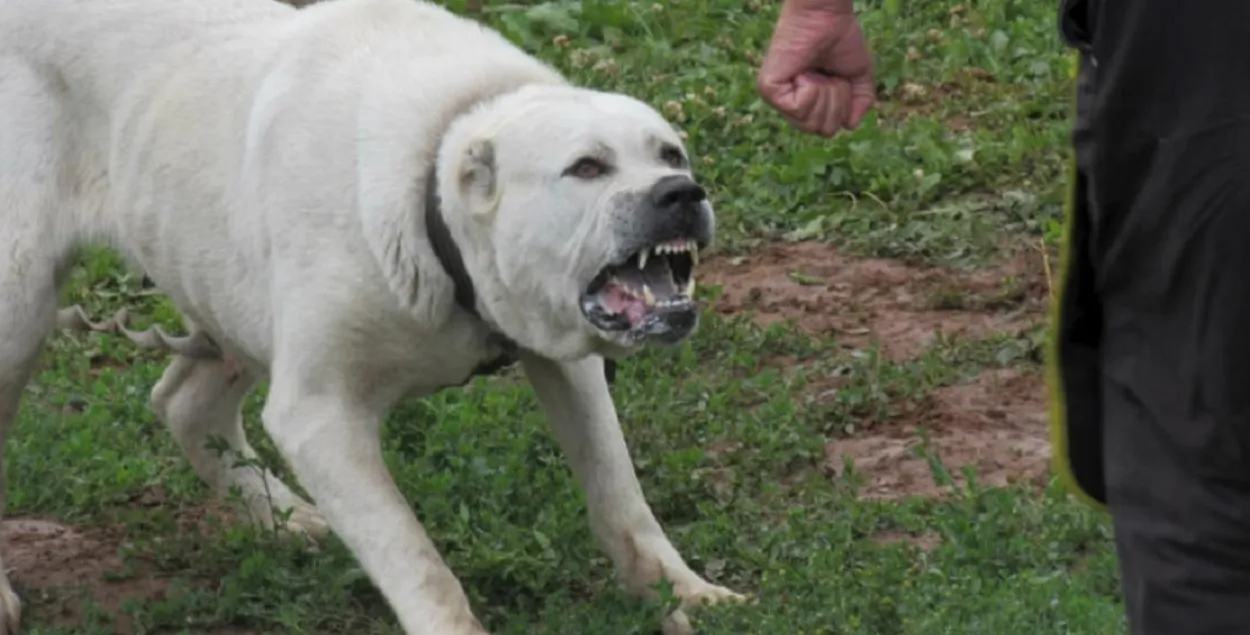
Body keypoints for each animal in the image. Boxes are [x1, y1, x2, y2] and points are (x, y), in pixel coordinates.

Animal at [0, 0, 740, 632]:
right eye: (586, 167)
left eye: (670, 153)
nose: (681, 193)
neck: (433, 202)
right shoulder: (321, 416)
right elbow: (417, 561)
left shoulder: (567, 360)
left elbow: (620, 494)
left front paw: (685, 595)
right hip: (20, 307)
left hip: (226, 290)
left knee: (184, 403)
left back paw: (283, 518)